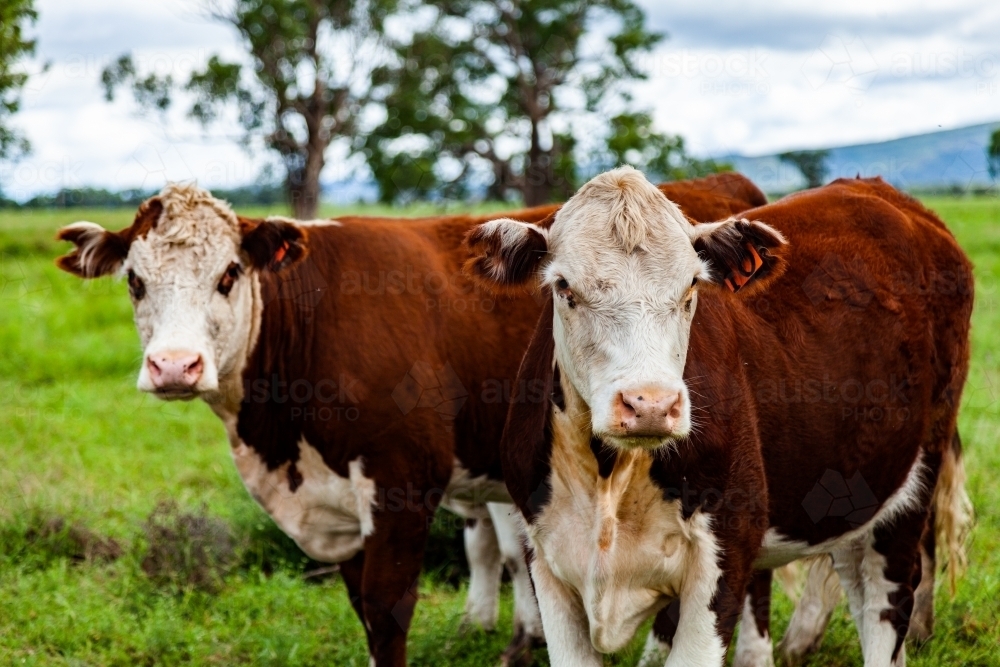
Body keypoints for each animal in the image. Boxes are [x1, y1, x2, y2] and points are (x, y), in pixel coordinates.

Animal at [468, 168, 976, 667]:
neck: (609, 478)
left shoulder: (726, 554)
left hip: (913, 482)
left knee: (885, 602)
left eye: (692, 285)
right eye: (564, 287)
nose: (650, 404)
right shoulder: (544, 558)